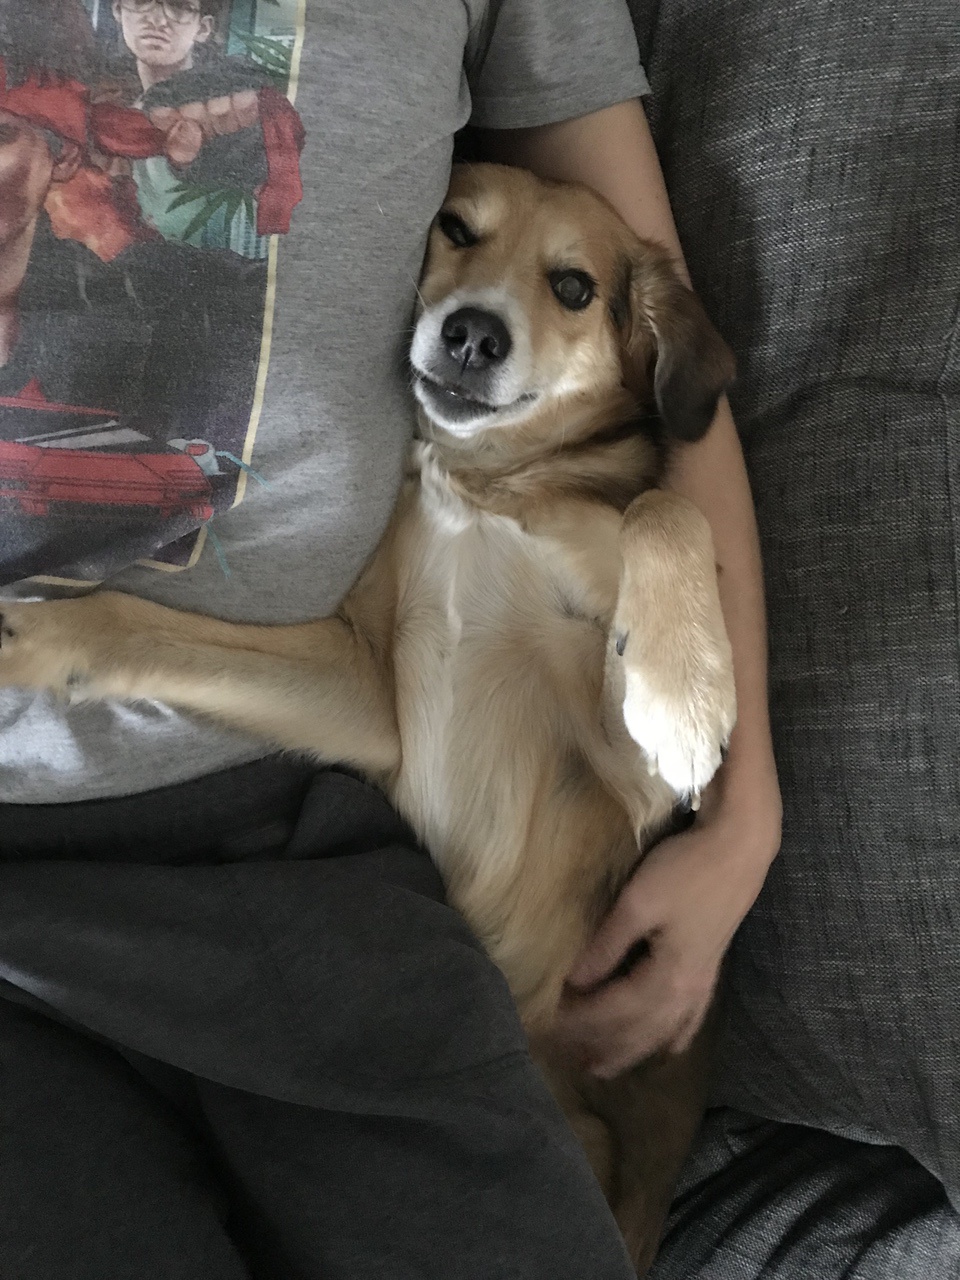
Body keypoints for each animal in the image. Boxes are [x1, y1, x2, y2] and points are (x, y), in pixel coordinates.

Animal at [0, 162, 737, 1273]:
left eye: (573, 287)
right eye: (456, 228)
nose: (472, 334)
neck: (485, 482)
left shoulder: (626, 780)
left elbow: (667, 510)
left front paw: (688, 694)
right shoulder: (370, 695)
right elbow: (138, 624)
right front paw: (39, 630)